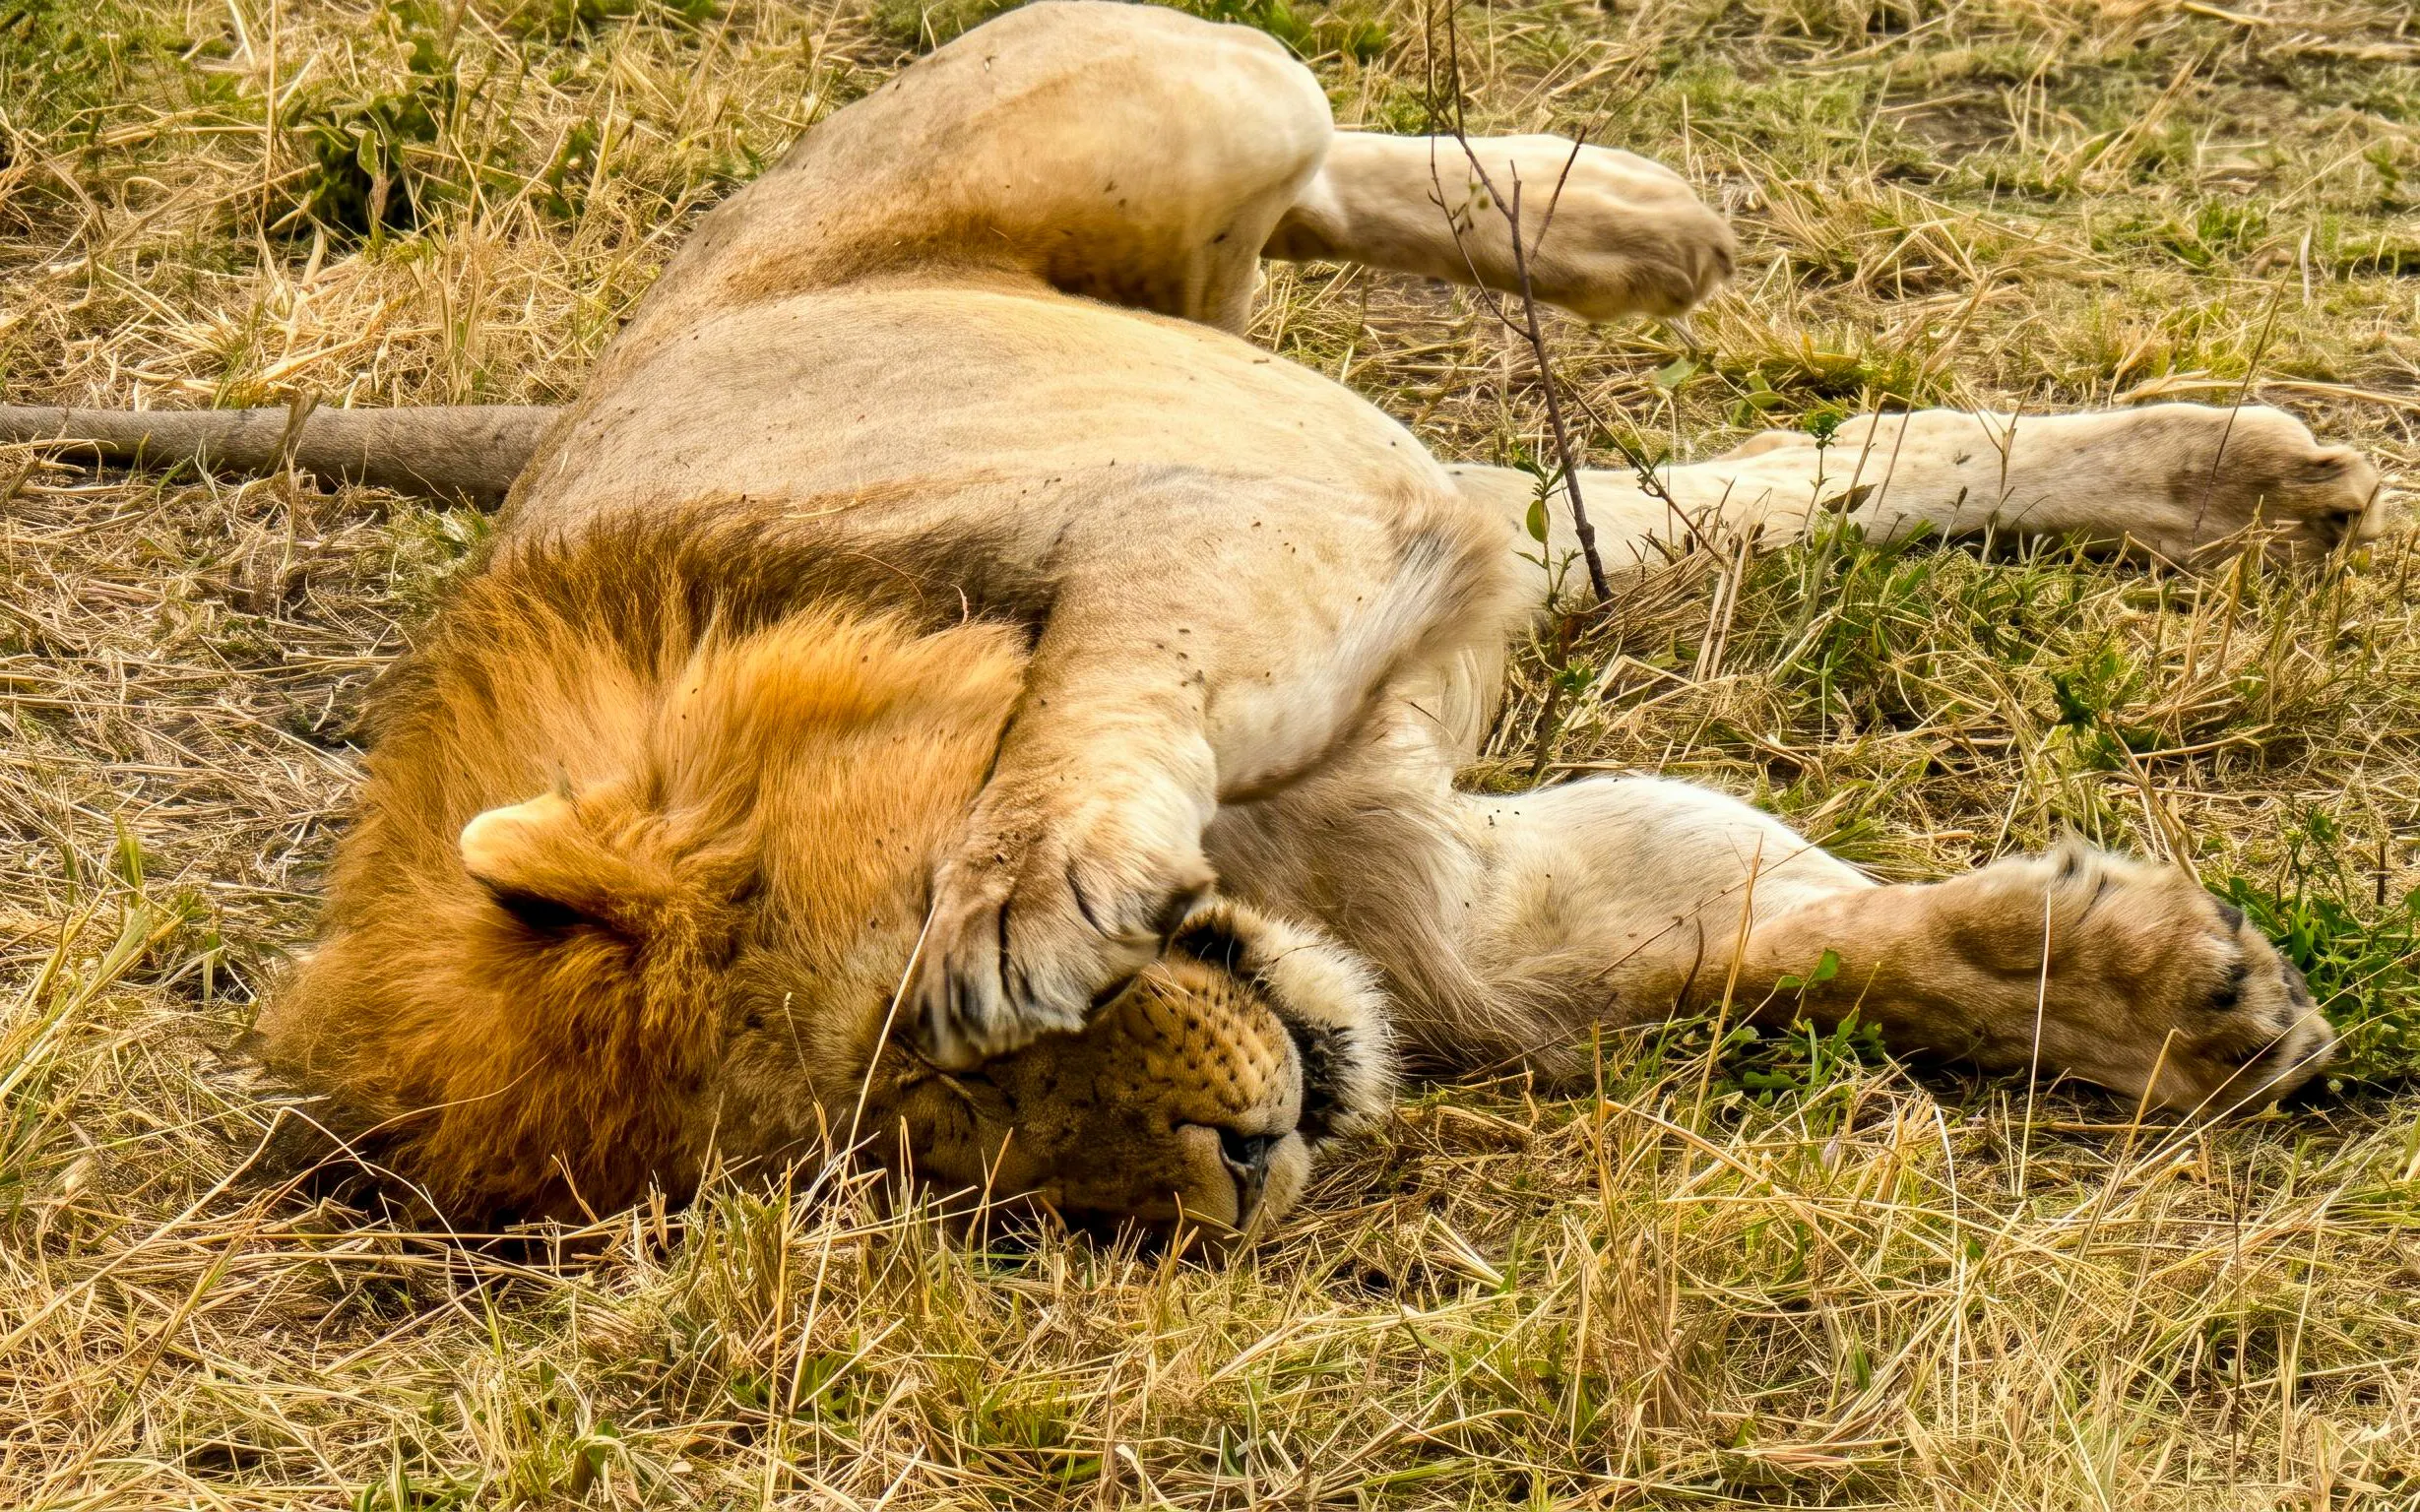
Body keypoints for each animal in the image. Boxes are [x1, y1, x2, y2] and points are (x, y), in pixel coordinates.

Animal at [11, 1, 2373, 1235]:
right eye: (931, 1175)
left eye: (927, 1060)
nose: (1246, 1157)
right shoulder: (1466, 907)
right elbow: (1793, 940)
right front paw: (2169, 997)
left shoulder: (1224, 512)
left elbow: (1093, 689)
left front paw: (1023, 885)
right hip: (1504, 486)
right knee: (1783, 474)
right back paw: (2231, 477)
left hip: (1152, 96)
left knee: (1313, 146)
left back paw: (1622, 219)